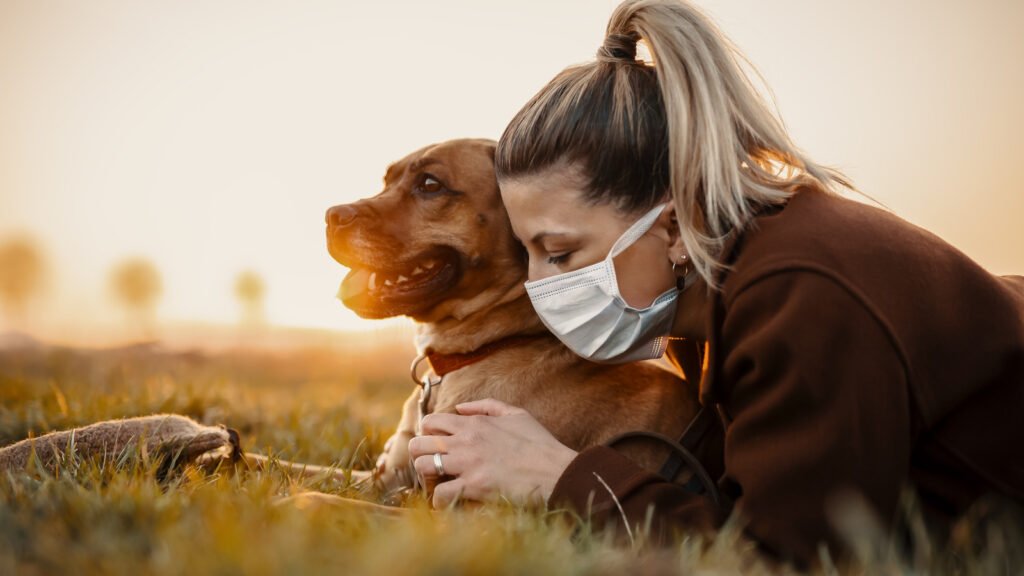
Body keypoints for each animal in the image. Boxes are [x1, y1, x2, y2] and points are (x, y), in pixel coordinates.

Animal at [323, 138, 700, 498]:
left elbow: (328, 501)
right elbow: (314, 475)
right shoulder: (384, 479)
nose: (331, 215)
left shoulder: (454, 507)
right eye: (386, 181)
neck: (490, 346)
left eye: (430, 184)